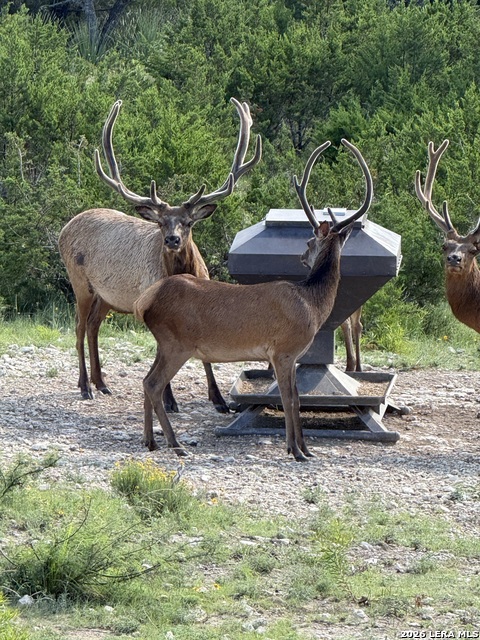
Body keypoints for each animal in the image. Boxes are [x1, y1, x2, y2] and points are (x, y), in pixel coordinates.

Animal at [59, 98, 261, 410]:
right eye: (161, 222)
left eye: (188, 222)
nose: (172, 239)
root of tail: (64, 229)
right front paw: (169, 400)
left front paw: (218, 399)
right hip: (80, 281)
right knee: (79, 327)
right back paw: (84, 387)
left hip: (107, 296)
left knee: (93, 326)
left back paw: (101, 383)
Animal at [133, 138, 373, 461]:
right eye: (309, 240)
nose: (301, 256)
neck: (312, 304)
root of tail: (145, 301)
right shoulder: (284, 350)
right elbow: (289, 400)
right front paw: (295, 450)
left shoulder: (292, 356)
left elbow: (296, 398)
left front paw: (305, 448)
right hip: (176, 343)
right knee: (153, 383)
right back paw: (174, 442)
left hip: (164, 342)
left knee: (146, 381)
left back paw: (150, 440)